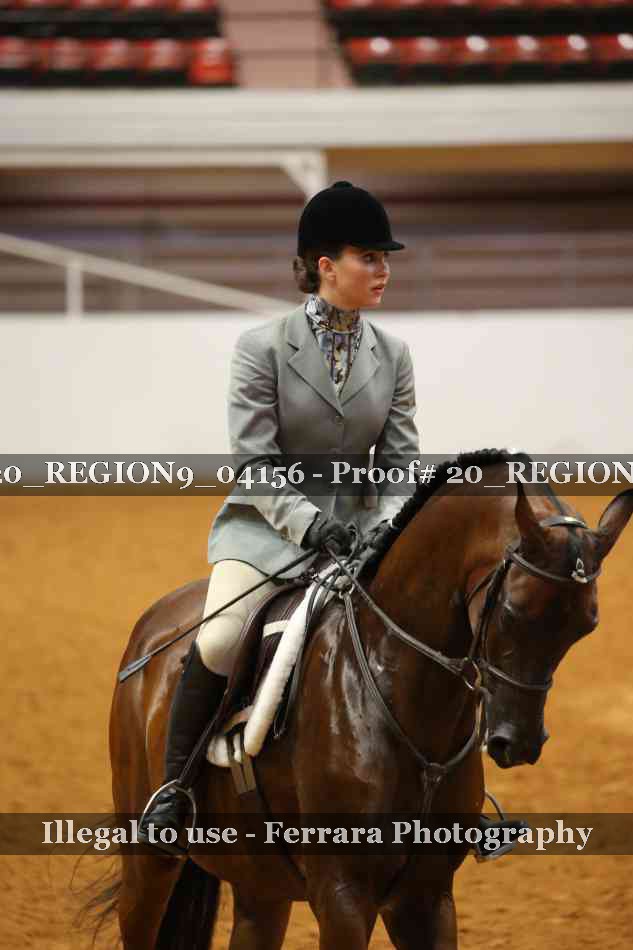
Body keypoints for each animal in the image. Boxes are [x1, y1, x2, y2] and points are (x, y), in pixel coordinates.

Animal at [103, 450, 632, 950]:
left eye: (586, 626)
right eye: (513, 611)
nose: (518, 743)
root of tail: (153, 622)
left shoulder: (427, 897)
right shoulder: (343, 894)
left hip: (261, 881)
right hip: (149, 864)